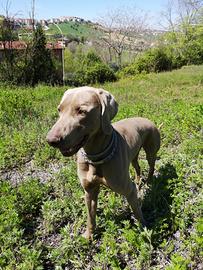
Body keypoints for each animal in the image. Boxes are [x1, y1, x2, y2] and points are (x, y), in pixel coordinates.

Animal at [46, 86, 160, 238]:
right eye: (59, 109)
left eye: (81, 111)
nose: (51, 140)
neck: (94, 157)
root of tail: (147, 119)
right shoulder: (89, 191)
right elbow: (90, 216)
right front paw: (89, 235)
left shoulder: (128, 190)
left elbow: (137, 212)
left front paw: (144, 230)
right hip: (133, 154)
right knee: (137, 167)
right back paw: (138, 182)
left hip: (151, 150)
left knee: (151, 165)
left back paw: (148, 182)